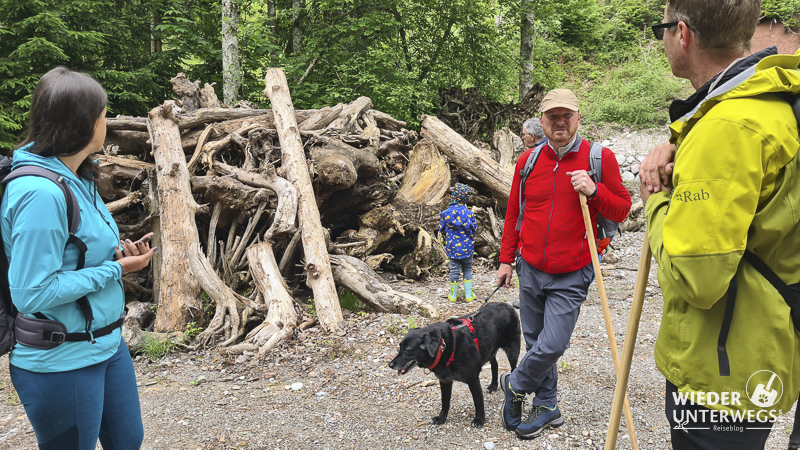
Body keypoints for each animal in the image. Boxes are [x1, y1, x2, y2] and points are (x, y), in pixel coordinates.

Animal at [390, 300, 520, 428]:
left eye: (407, 349)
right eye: (399, 347)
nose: (390, 365)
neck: (444, 347)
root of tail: (507, 305)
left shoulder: (473, 380)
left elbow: (478, 402)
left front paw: (479, 420)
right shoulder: (445, 380)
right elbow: (445, 402)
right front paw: (441, 418)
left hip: (512, 351)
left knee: (514, 368)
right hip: (489, 351)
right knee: (495, 364)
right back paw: (493, 385)